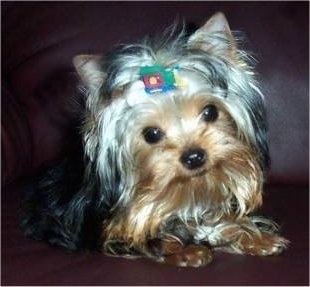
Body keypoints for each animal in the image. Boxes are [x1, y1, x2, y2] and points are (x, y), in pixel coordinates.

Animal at [21, 11, 288, 268]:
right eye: (152, 134)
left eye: (210, 111)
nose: (194, 157)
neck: (189, 191)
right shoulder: (102, 230)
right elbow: (144, 240)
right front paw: (188, 252)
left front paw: (257, 238)